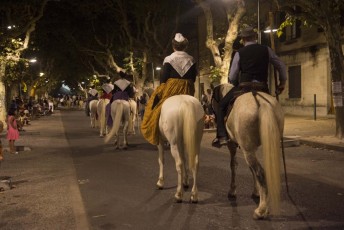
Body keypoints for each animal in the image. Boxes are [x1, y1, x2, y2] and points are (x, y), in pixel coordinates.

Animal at [212, 83, 284, 220]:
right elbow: (251, 170)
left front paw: (232, 191)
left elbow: (233, 165)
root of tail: (261, 102)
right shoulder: (251, 148)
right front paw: (256, 192)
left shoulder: (232, 145)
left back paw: (261, 210)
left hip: (247, 149)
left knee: (260, 172)